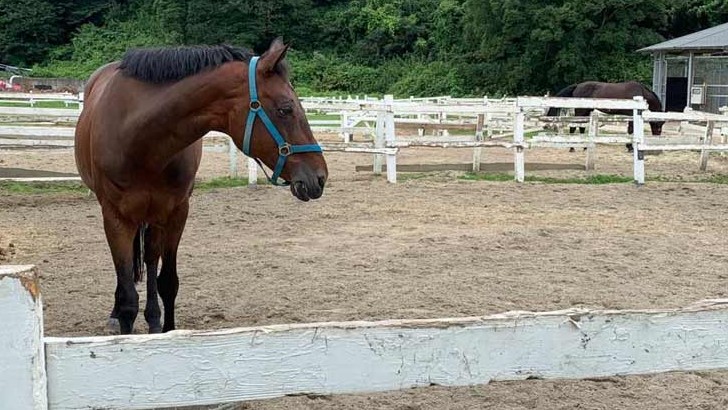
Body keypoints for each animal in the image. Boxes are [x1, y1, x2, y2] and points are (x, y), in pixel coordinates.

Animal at [75, 39, 328, 335]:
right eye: (286, 109)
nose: (319, 176)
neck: (139, 138)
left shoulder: (176, 213)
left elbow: (168, 283)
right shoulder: (116, 217)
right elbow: (127, 297)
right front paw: (122, 317)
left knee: (150, 258)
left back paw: (153, 318)